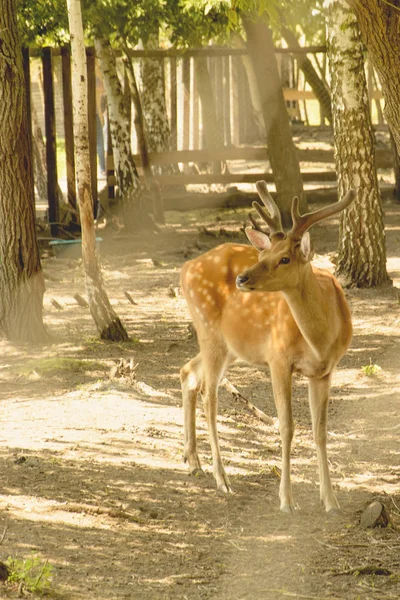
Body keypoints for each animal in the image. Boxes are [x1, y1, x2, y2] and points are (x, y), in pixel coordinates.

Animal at [180, 180, 354, 512]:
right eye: (265, 254)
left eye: (285, 257)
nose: (242, 278)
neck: (320, 340)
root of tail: (185, 268)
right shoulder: (278, 358)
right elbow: (287, 426)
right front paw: (286, 500)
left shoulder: (325, 370)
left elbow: (320, 431)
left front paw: (331, 500)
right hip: (209, 332)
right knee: (210, 397)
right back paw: (221, 478)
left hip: (230, 346)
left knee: (187, 372)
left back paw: (193, 461)